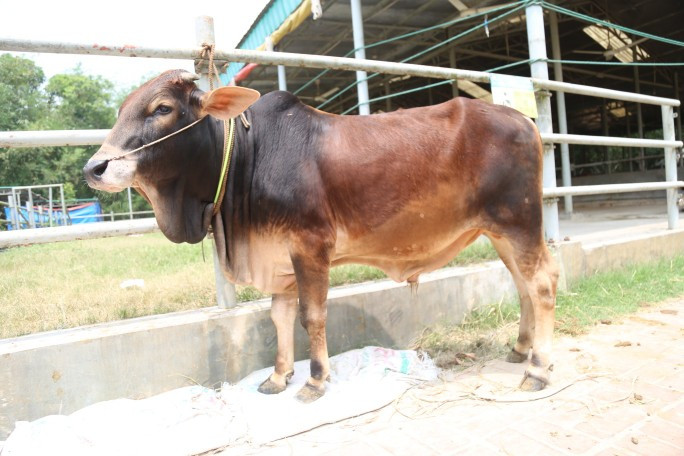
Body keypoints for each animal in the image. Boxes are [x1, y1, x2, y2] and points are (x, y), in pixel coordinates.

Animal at [84, 70, 559, 403]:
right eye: (122, 109)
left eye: (162, 108)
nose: (95, 167)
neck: (247, 159)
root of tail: (525, 121)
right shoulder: (278, 253)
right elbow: (278, 316)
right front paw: (278, 377)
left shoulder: (310, 246)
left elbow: (311, 316)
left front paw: (314, 380)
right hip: (499, 232)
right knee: (523, 286)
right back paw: (521, 351)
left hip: (519, 222)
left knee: (542, 284)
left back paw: (537, 370)